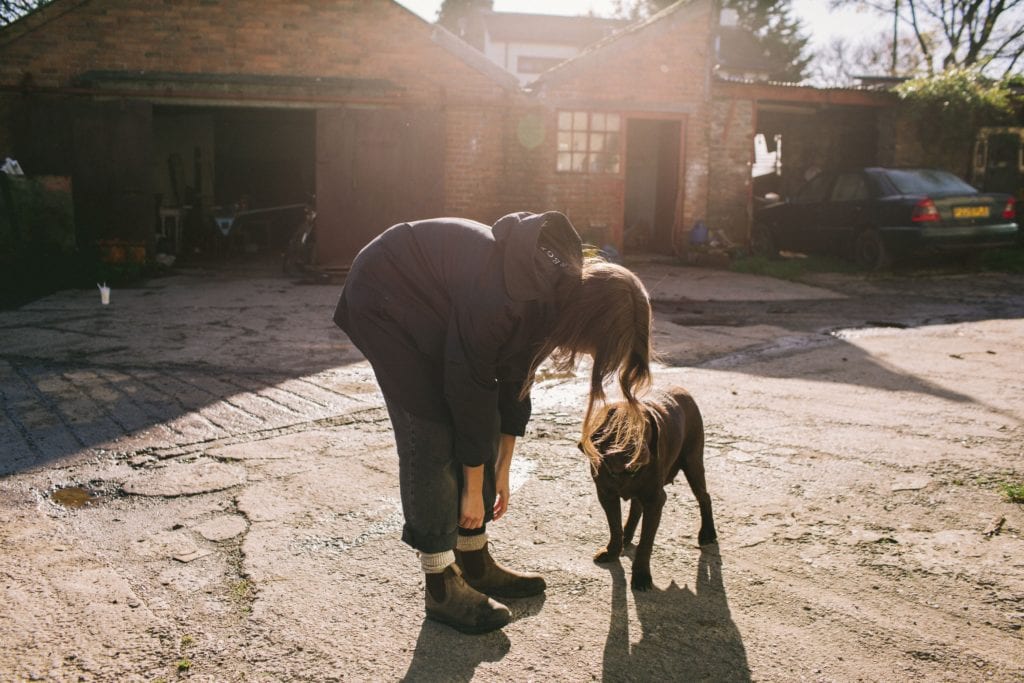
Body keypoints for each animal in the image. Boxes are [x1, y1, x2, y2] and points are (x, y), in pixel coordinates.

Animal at [581, 387, 716, 589]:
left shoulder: (655, 500)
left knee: (704, 496)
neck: (625, 471)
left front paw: (641, 575)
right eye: (625, 428)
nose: (643, 454)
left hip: (693, 461)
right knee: (636, 507)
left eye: (647, 429)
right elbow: (615, 526)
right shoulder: (606, 494)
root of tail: (682, 390)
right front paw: (613, 550)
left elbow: (645, 542)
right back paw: (626, 536)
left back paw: (708, 532)